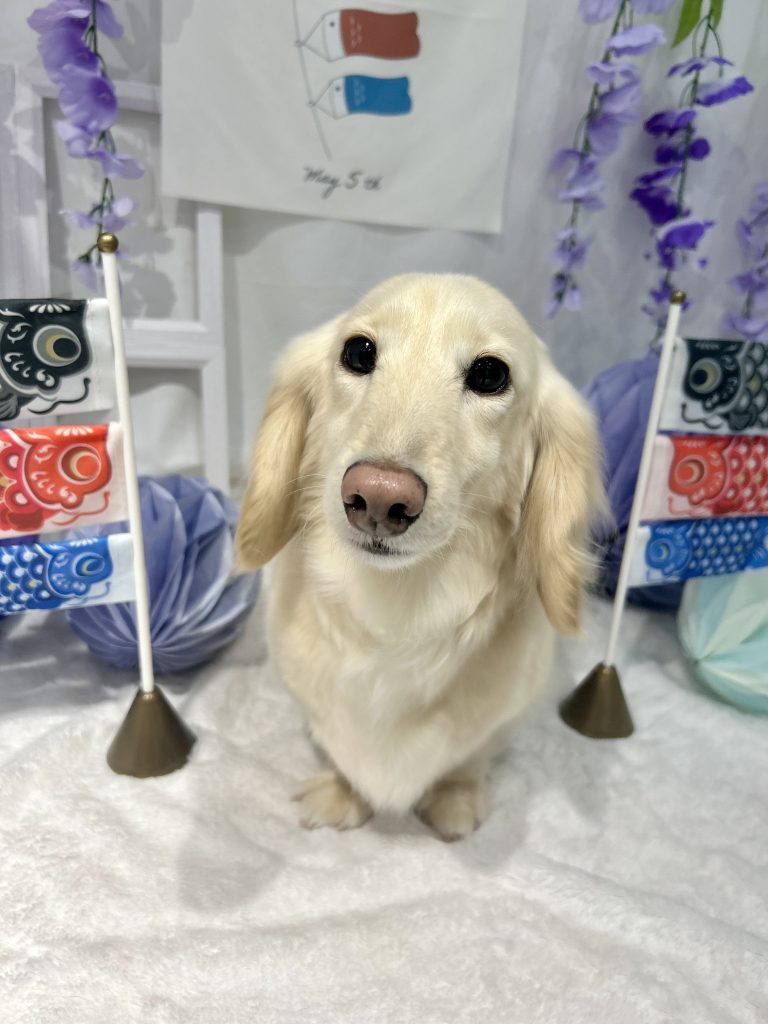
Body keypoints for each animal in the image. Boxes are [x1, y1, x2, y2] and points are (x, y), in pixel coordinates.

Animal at [236, 274, 604, 840]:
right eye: (358, 351)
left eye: (490, 373)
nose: (379, 497)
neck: (397, 611)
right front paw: (342, 791)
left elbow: (470, 757)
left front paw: (454, 796)